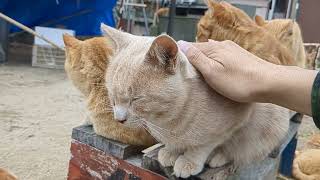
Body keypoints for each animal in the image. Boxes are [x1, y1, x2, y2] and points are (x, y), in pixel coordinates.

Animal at [102, 24, 290, 179]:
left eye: (136, 99)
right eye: (112, 97)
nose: (119, 119)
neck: (168, 121)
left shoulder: (233, 123)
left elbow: (203, 146)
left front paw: (189, 161)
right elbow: (176, 144)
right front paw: (171, 151)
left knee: (241, 150)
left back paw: (218, 157)